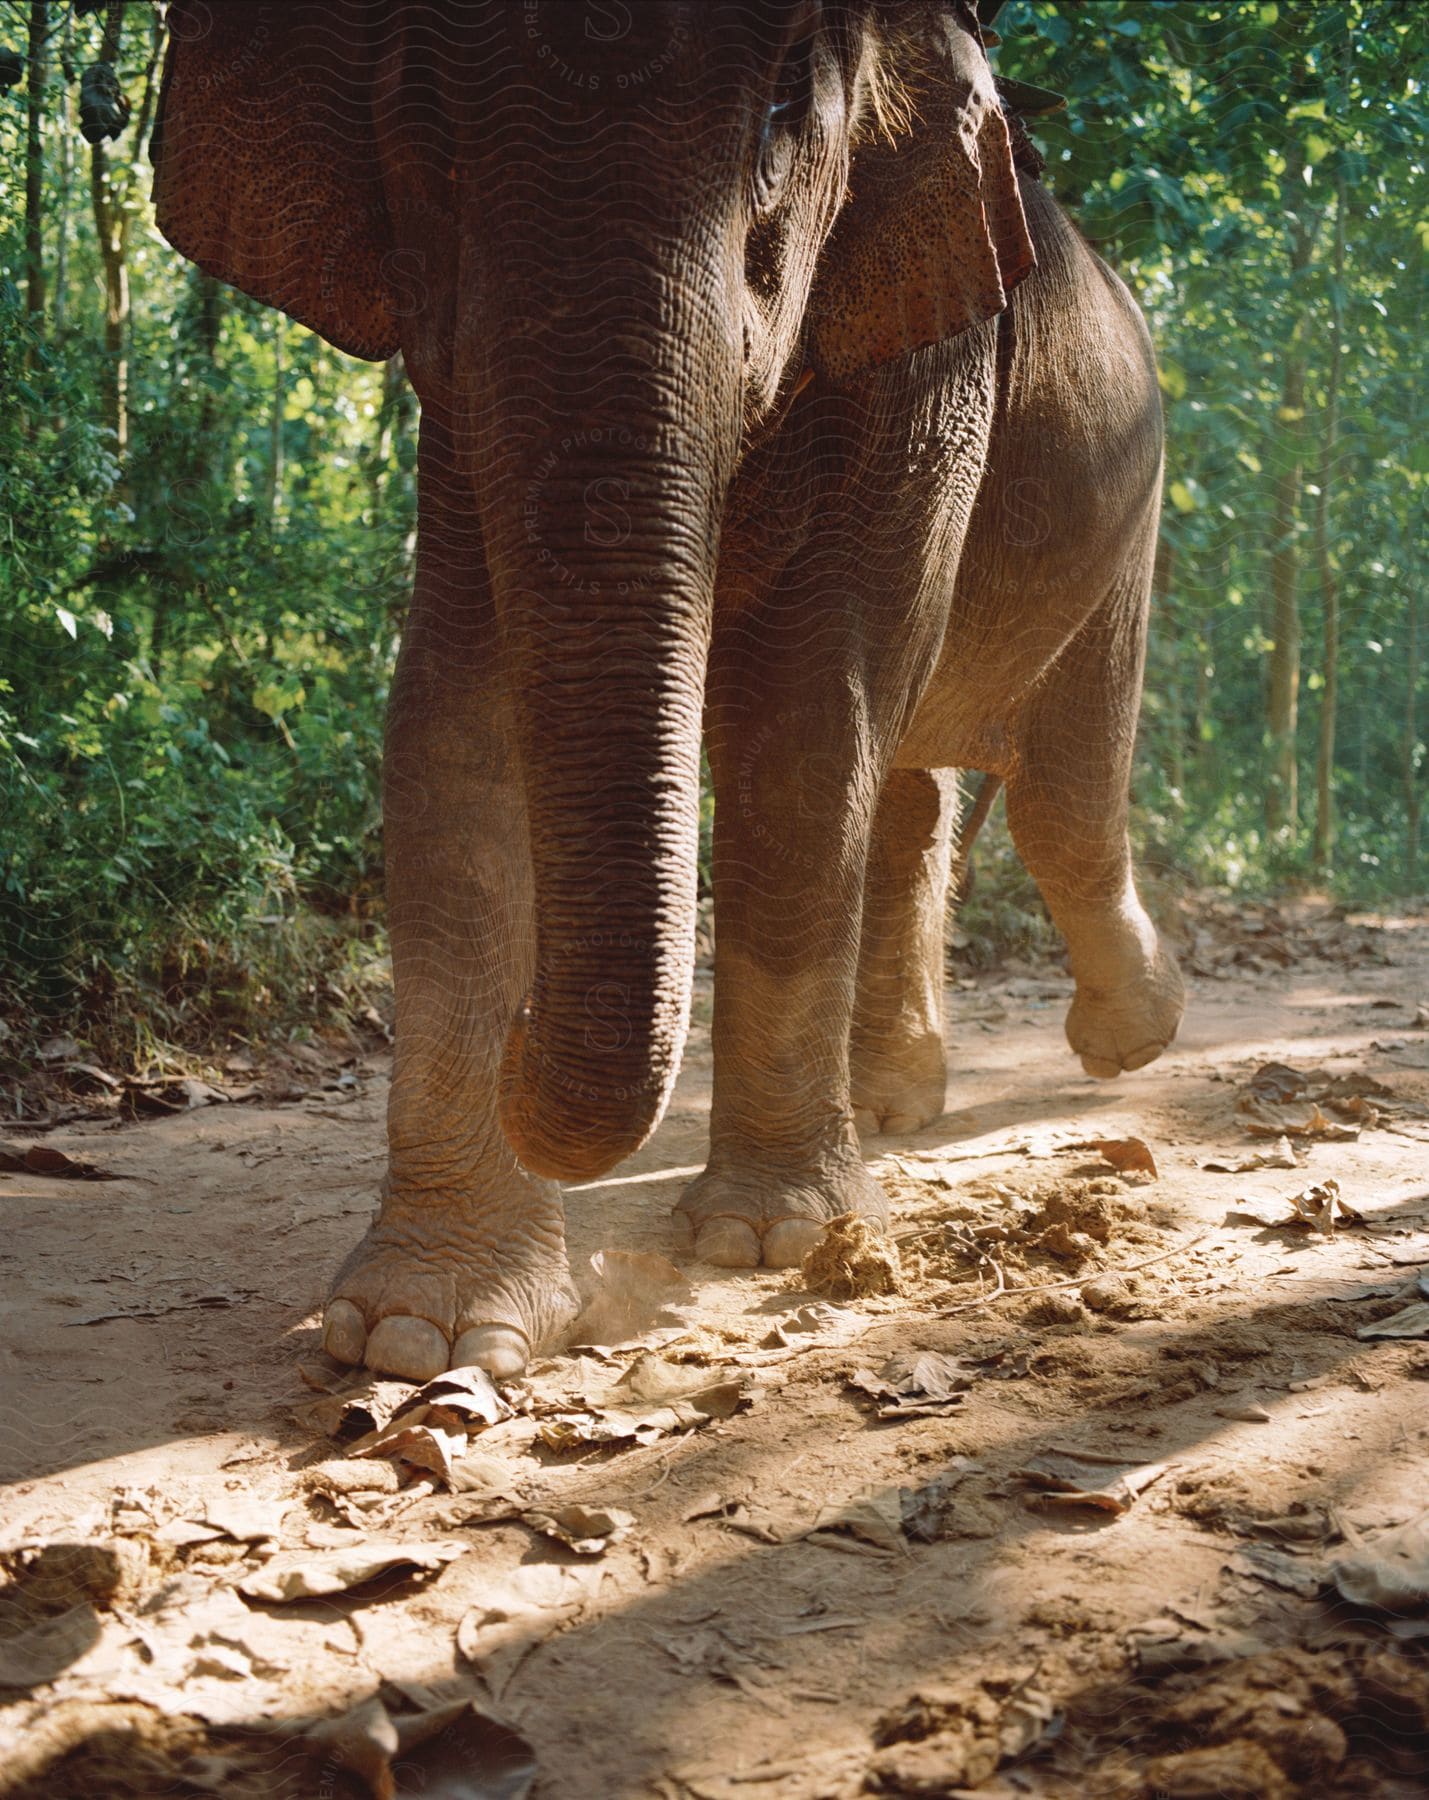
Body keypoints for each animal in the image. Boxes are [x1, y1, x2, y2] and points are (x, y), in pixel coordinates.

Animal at [152, 0, 1180, 1375]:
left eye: (781, 119)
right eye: (421, 134)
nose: (525, 1033)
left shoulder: (924, 365)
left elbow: (803, 723)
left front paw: (771, 1244)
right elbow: (455, 725)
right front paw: (418, 1335)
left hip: (1126, 508)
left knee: (1056, 792)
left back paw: (1130, 1036)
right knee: (920, 790)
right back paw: (895, 1103)